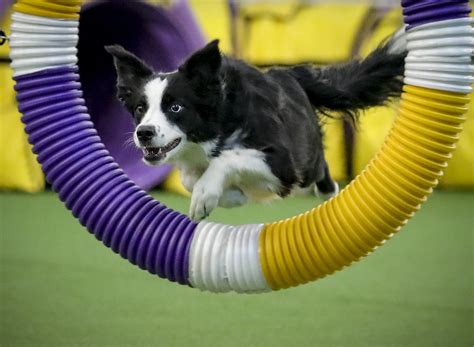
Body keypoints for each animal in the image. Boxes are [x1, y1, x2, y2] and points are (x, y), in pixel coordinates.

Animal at [105, 38, 406, 222]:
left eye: (176, 107)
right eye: (140, 108)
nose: (144, 133)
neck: (219, 121)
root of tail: (291, 74)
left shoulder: (283, 162)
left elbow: (227, 158)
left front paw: (205, 196)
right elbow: (190, 178)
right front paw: (231, 196)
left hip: (305, 162)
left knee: (320, 169)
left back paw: (330, 192)